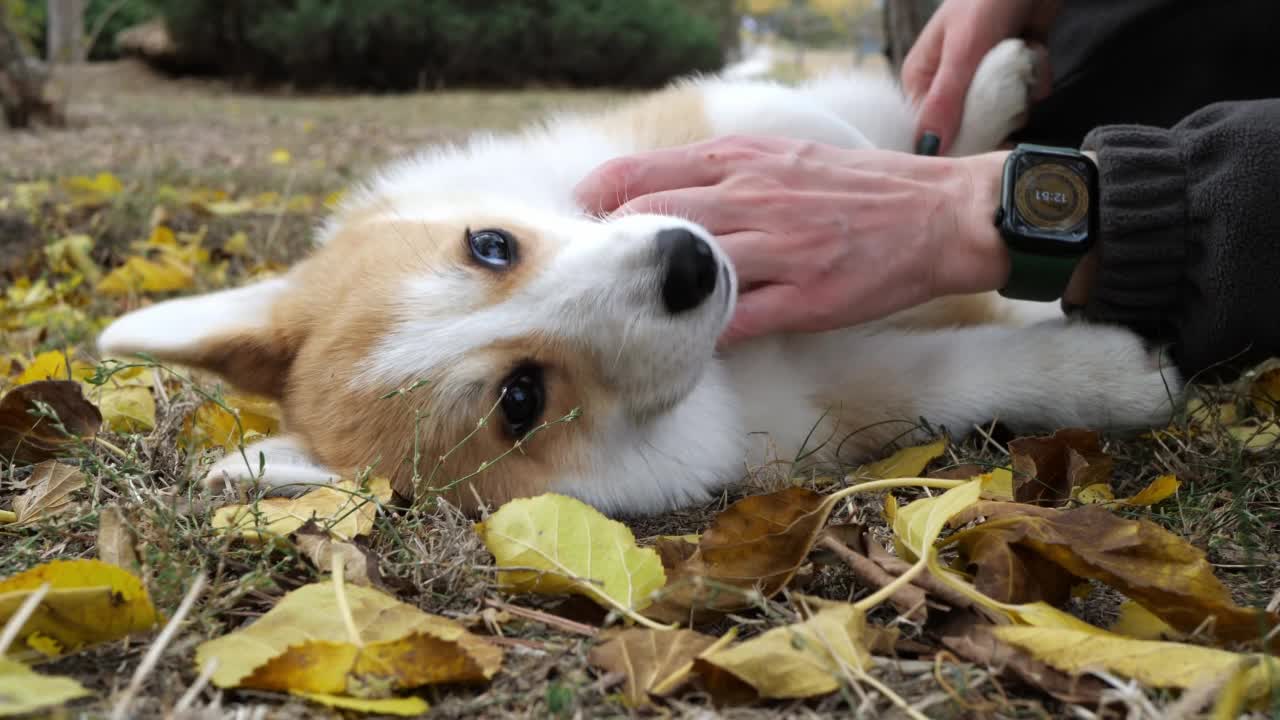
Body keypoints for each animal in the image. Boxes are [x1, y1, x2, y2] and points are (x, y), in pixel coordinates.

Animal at [97, 39, 1177, 512]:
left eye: (490, 245)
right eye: (521, 400)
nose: (691, 261)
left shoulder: (701, 136)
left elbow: (849, 145)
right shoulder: (850, 397)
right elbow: (980, 370)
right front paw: (1114, 372)